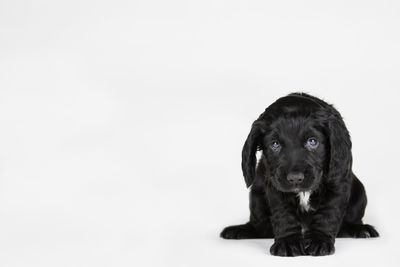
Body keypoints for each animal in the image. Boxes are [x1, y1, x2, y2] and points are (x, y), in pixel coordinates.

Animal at [220, 93, 380, 256]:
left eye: (312, 142)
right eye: (275, 144)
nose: (295, 178)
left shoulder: (337, 182)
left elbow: (328, 213)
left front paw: (319, 241)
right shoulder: (275, 185)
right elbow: (284, 215)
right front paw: (288, 242)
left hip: (360, 195)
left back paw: (360, 229)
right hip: (256, 197)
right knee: (261, 227)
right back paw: (240, 230)